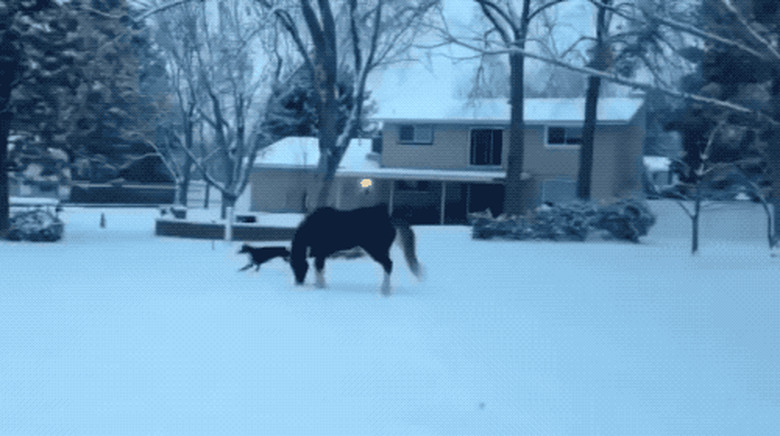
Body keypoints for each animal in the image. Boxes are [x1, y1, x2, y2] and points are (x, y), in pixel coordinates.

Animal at [290, 205, 424, 294]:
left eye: (298, 265)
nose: (298, 283)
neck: (312, 227)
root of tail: (389, 219)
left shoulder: (321, 253)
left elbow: (319, 268)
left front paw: (320, 286)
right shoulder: (321, 254)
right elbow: (319, 269)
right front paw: (321, 285)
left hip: (376, 251)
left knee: (388, 265)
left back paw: (384, 290)